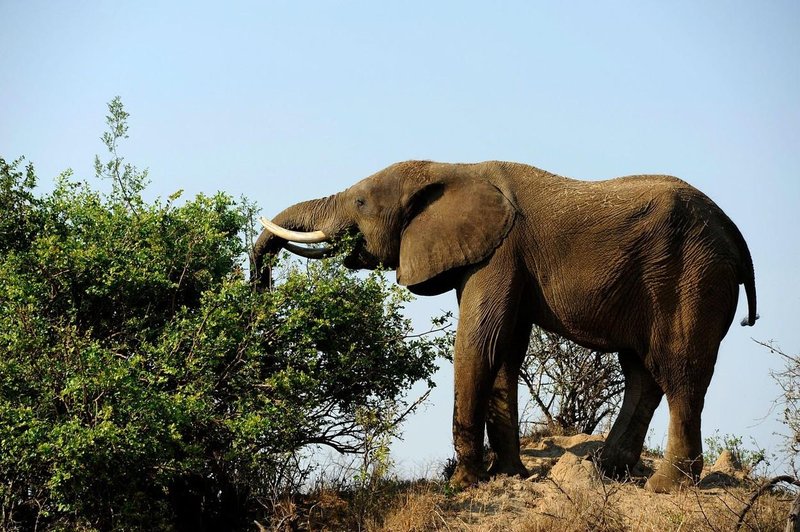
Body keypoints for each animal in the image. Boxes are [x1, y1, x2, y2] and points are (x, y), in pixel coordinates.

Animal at [252, 160, 756, 492]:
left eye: (359, 201)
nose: (262, 290)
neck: (451, 167)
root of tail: (735, 235)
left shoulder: (499, 252)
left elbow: (479, 343)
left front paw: (464, 482)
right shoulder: (489, 257)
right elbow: (507, 349)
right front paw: (508, 475)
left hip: (693, 277)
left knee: (680, 372)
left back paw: (666, 487)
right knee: (642, 373)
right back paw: (605, 471)